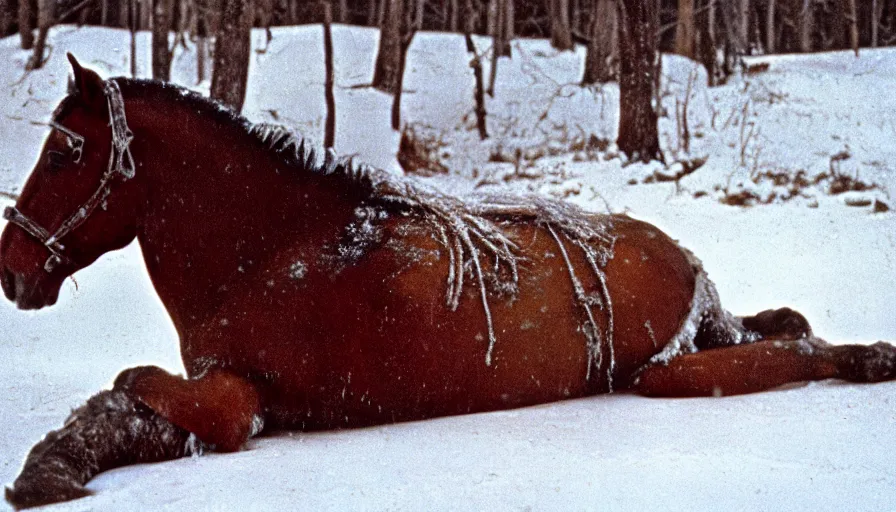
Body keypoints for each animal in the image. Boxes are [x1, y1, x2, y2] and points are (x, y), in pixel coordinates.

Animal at [1, 54, 896, 510]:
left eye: (68, 151)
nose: (11, 270)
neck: (269, 251)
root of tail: (680, 254)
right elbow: (119, 405)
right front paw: (47, 470)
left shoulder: (242, 402)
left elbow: (131, 383)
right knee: (782, 326)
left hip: (663, 373)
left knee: (790, 353)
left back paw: (865, 360)